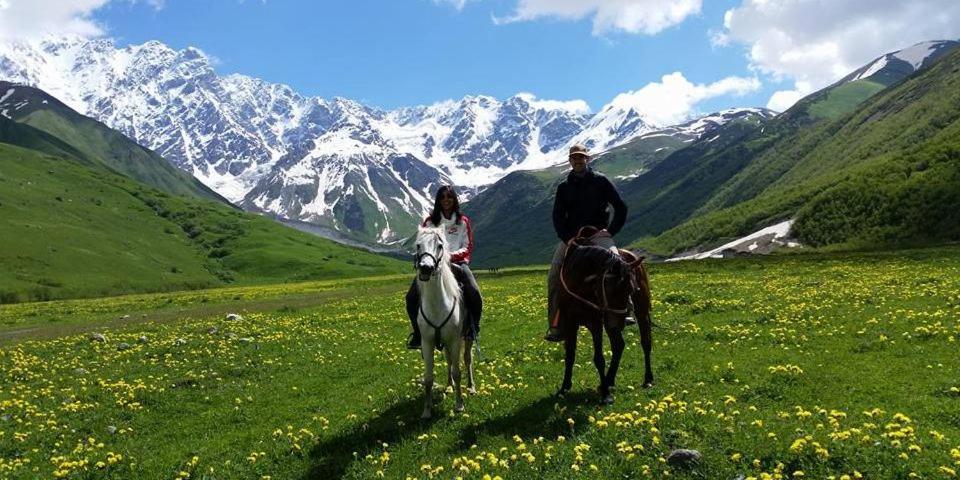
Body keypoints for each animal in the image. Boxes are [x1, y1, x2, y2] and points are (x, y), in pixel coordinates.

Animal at [412, 227, 464, 418]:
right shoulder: (427, 343)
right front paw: (427, 410)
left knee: (467, 360)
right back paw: (448, 386)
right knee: (448, 361)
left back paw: (471, 387)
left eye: (440, 245)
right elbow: (428, 378)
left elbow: (457, 372)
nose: (426, 268)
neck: (437, 306)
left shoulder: (455, 340)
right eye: (418, 245)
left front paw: (459, 404)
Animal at [556, 236, 652, 404]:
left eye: (632, 289)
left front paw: (606, 396)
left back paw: (647, 379)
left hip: (641, 312)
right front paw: (564, 388)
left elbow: (599, 358)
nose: (621, 322)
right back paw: (608, 381)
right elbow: (570, 354)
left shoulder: (595, 322)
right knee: (619, 345)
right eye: (609, 288)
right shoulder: (570, 322)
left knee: (645, 342)